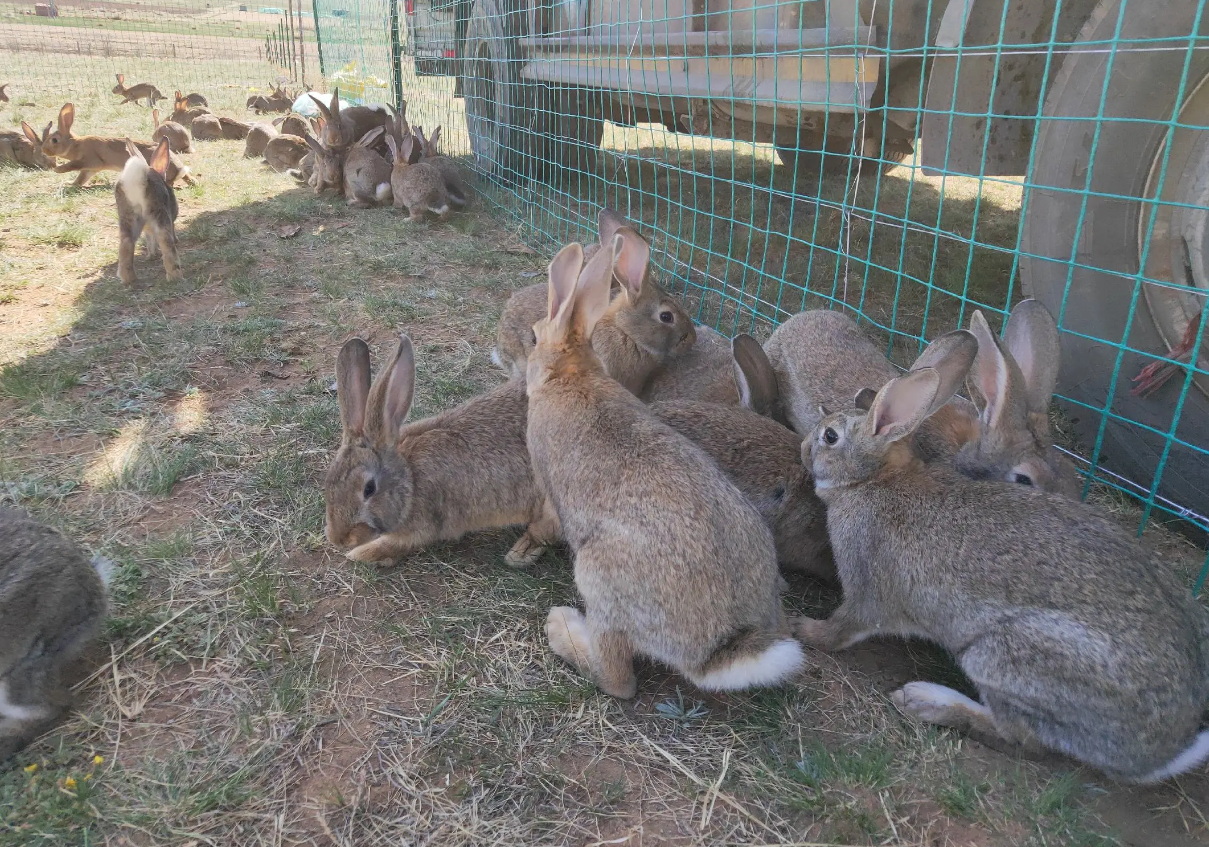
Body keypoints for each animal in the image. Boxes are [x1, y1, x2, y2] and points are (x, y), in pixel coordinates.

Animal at [21, 103, 193, 186]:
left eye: (54, 140)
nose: (45, 150)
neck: (75, 143)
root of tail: (180, 170)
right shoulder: (90, 169)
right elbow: (81, 179)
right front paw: (71, 183)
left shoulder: (89, 160)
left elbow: (73, 166)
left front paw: (58, 170)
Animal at [115, 137, 180, 286]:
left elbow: (150, 240)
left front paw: (151, 255)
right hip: (159, 213)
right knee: (165, 239)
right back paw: (174, 275)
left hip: (128, 217)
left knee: (126, 243)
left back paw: (128, 279)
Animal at [326, 335, 560, 567]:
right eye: (328, 483)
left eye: (369, 489)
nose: (339, 539)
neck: (410, 478)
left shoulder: (423, 526)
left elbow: (395, 544)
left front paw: (362, 553)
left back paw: (520, 553)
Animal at [527, 236, 802, 695]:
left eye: (533, 337)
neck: (571, 374)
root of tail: (714, 651)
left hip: (598, 576)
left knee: (618, 679)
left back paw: (561, 628)